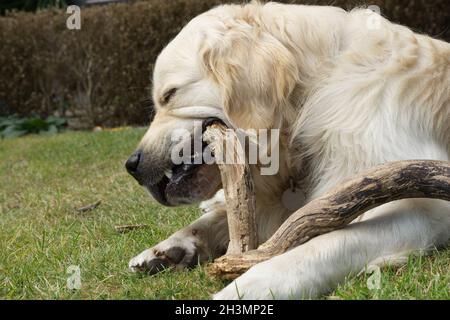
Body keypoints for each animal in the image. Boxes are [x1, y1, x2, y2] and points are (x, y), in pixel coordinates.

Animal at [124, 1, 450, 298]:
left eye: (170, 94)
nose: (131, 165)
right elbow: (221, 220)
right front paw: (171, 247)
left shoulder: (418, 200)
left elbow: (323, 245)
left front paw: (248, 286)